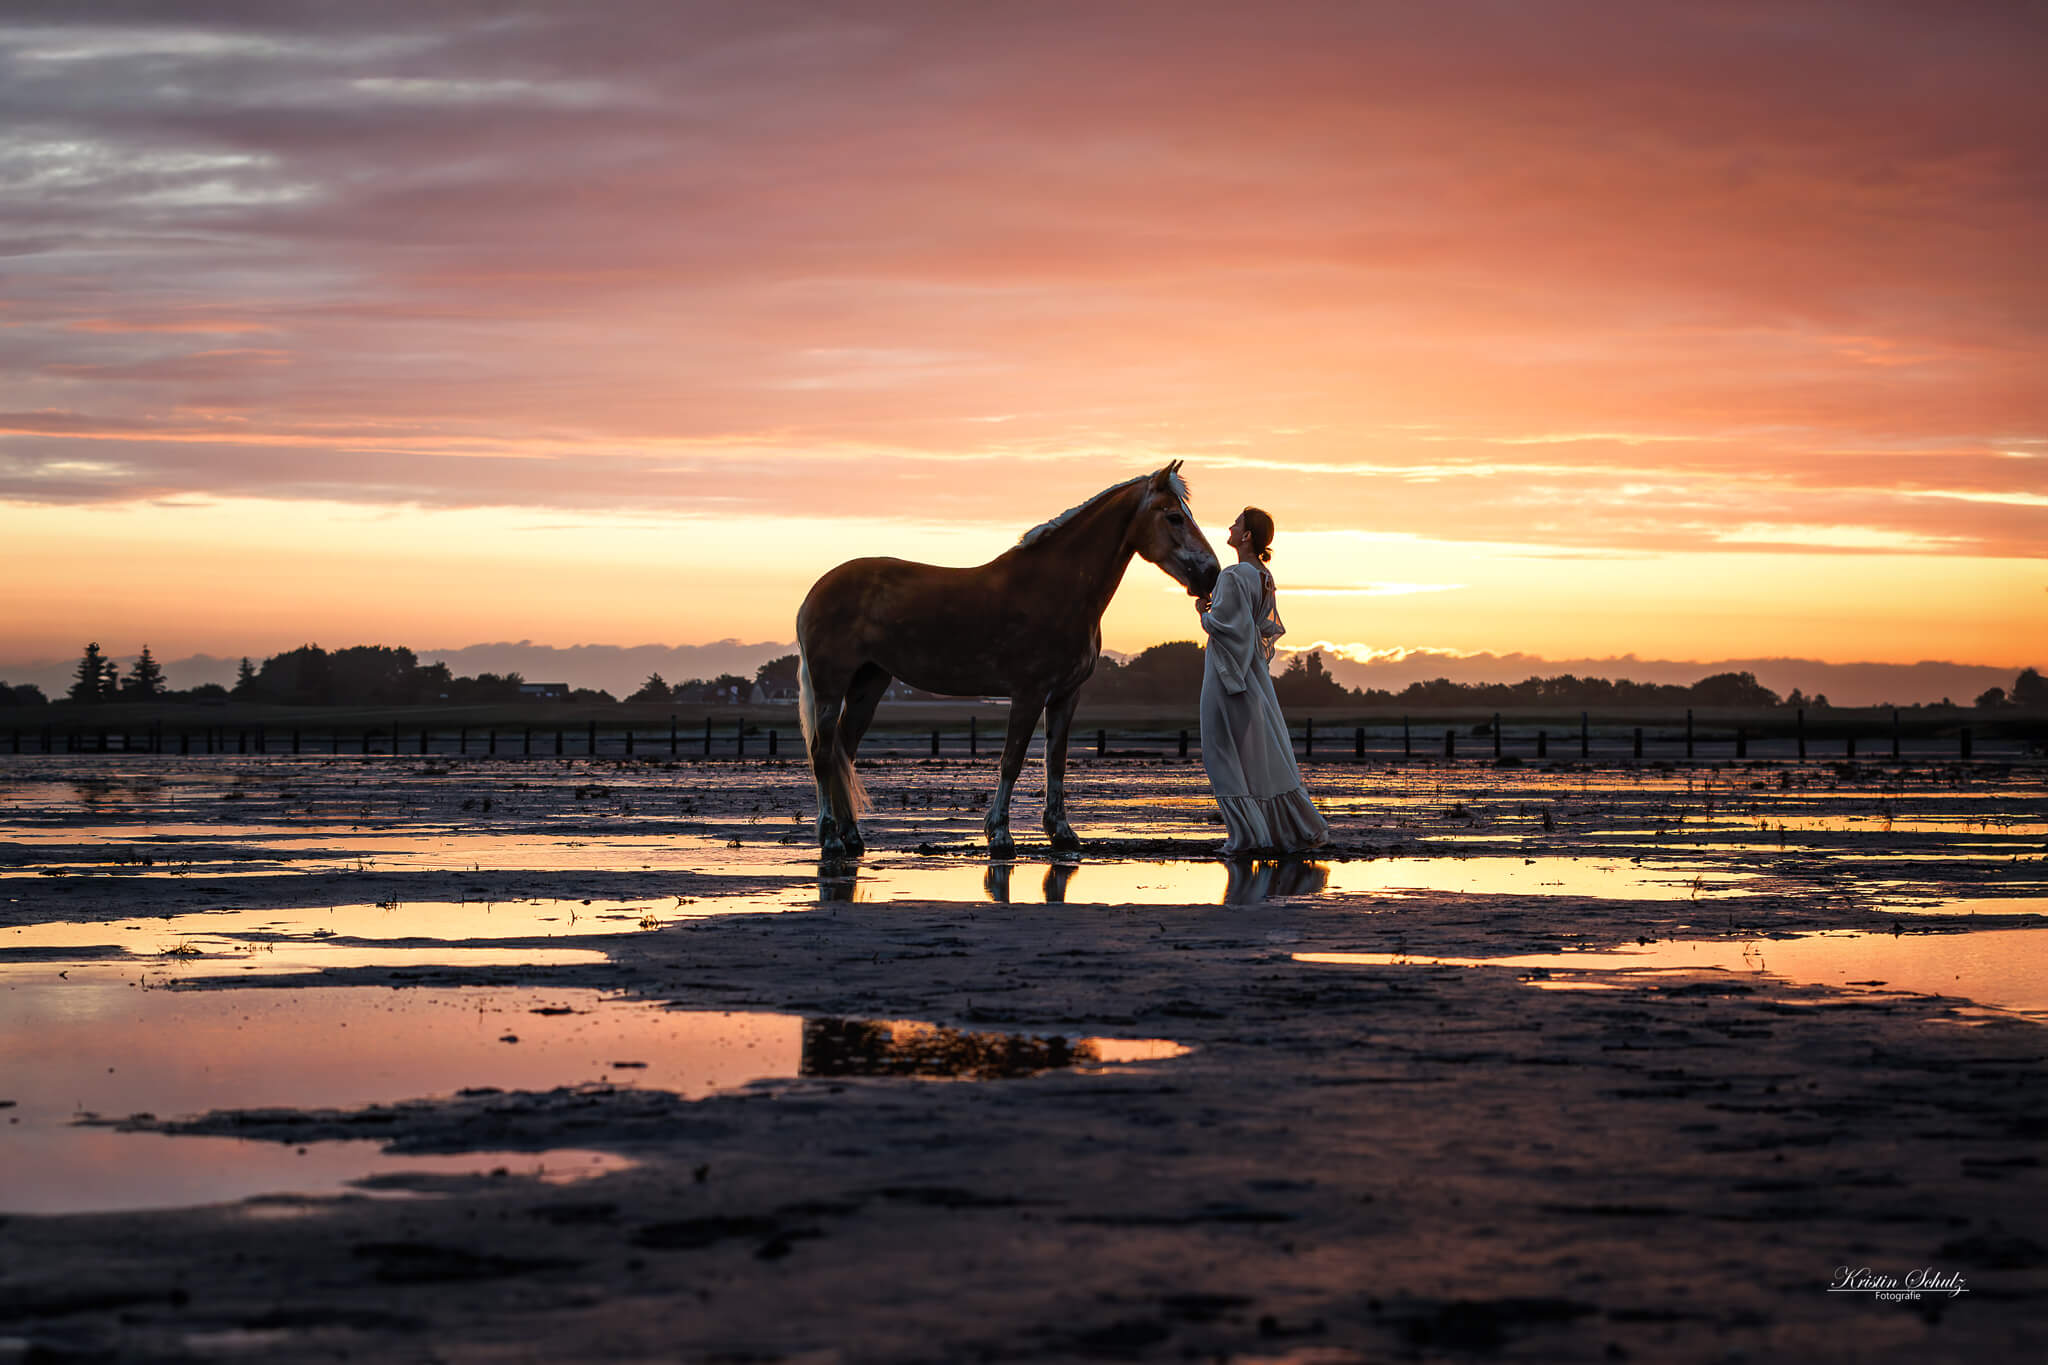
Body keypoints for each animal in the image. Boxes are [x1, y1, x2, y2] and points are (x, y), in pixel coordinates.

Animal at [797, 461, 1220, 859]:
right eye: (1174, 516)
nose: (1211, 574)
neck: (1056, 587)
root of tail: (816, 591)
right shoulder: (1028, 693)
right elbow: (1011, 760)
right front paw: (999, 835)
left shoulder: (1066, 696)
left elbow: (1056, 760)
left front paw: (1061, 832)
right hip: (830, 685)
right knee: (822, 753)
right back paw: (830, 839)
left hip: (868, 684)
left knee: (844, 752)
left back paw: (852, 838)